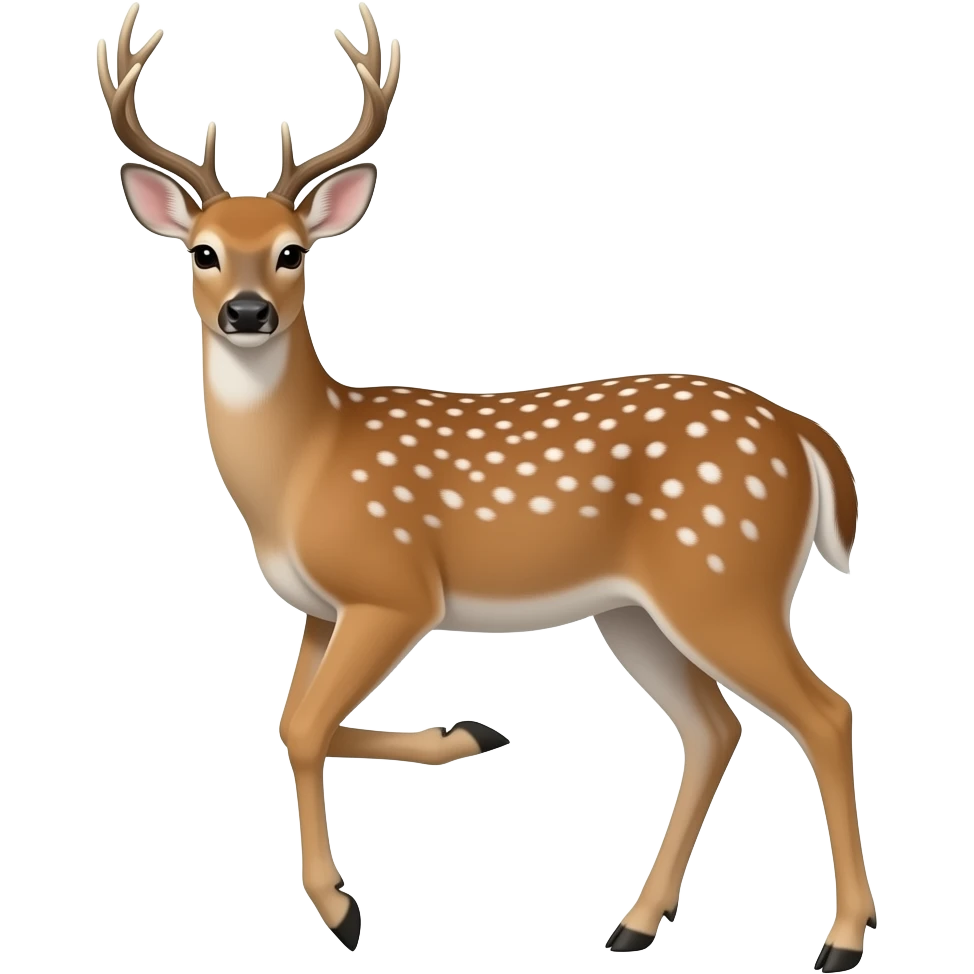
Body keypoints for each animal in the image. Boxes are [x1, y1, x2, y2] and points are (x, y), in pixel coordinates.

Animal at [95, 3, 873, 967]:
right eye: (202, 252)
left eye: (291, 253)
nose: (247, 313)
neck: (305, 465)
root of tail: (806, 437)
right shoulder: (321, 608)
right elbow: (291, 724)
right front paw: (469, 732)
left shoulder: (393, 586)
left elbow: (305, 727)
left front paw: (341, 908)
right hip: (637, 610)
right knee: (714, 727)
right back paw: (635, 921)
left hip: (727, 579)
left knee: (824, 712)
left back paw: (841, 937)